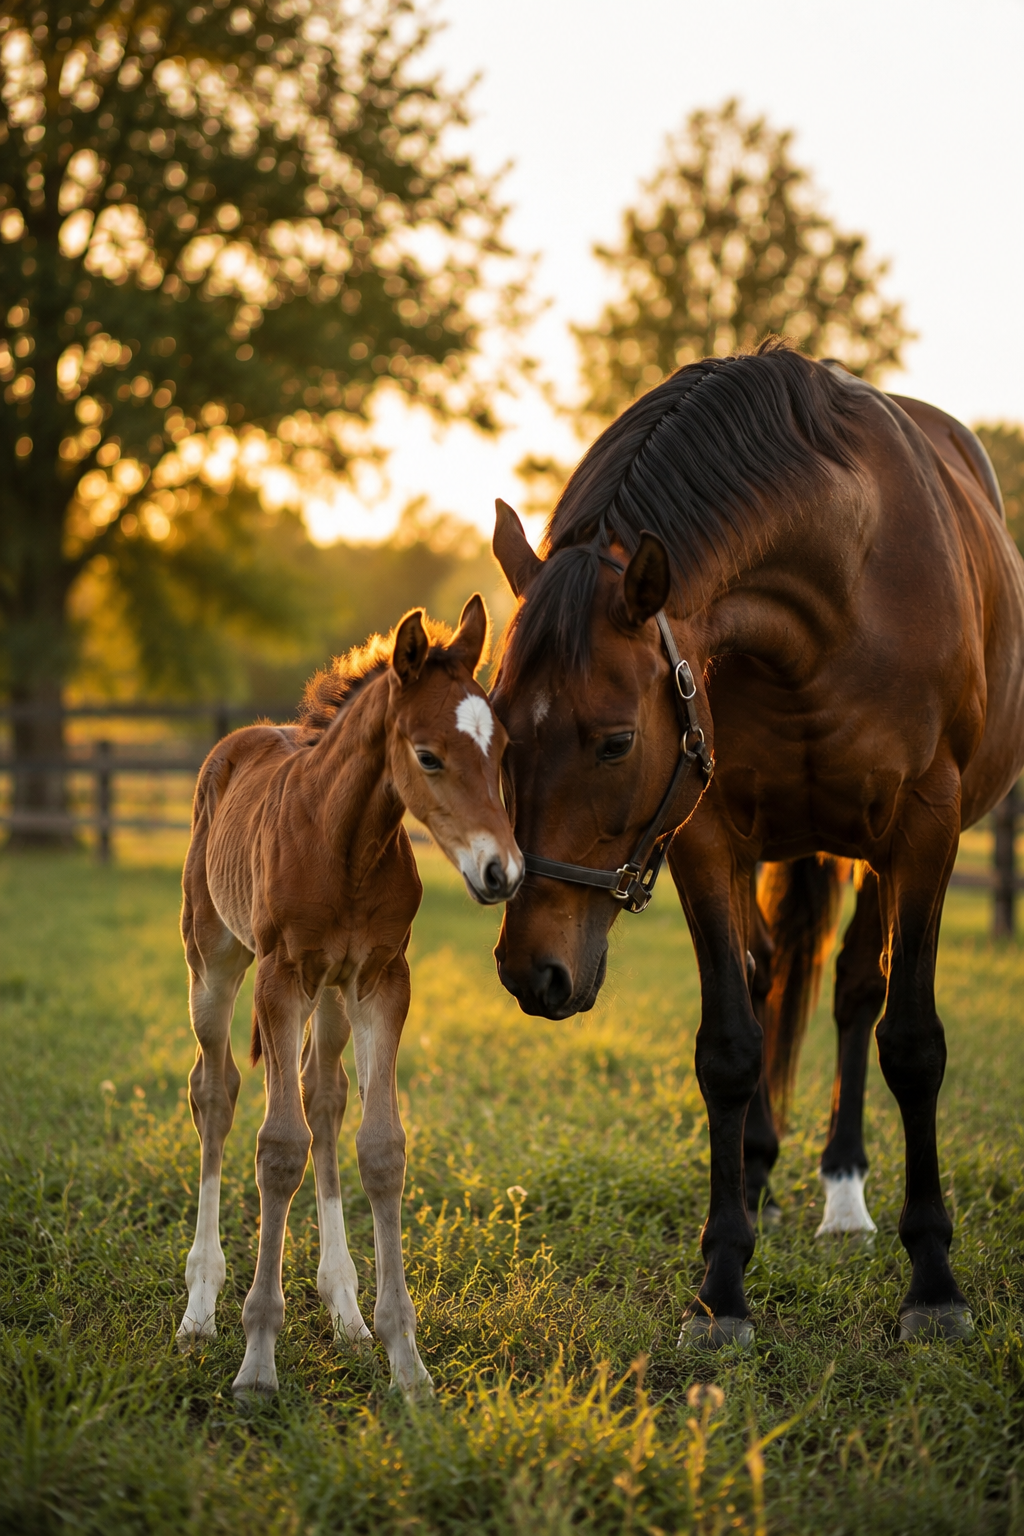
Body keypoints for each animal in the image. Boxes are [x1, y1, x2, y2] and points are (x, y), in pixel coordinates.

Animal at [177, 597, 522, 1395]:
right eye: (428, 755)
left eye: (501, 752)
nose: (503, 872)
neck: (344, 847)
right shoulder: (280, 977)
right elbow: (278, 1148)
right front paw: (257, 1362)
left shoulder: (381, 980)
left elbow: (381, 1147)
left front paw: (406, 1360)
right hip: (215, 960)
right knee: (215, 1089)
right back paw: (200, 1306)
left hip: (331, 997)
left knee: (324, 1096)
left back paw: (346, 1311)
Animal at [489, 341, 1024, 1347]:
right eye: (497, 729)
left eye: (616, 741)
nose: (531, 972)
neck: (842, 578)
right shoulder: (705, 834)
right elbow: (731, 1046)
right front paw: (722, 1283)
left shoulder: (923, 829)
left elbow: (912, 1043)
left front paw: (934, 1282)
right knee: (773, 971)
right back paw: (764, 1173)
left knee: (854, 991)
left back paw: (843, 1193)